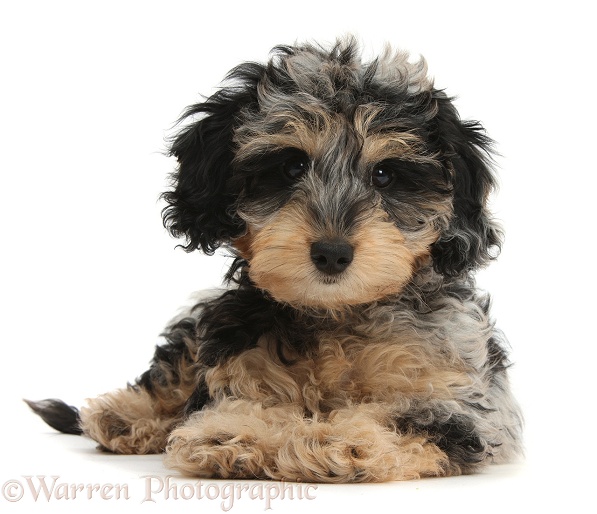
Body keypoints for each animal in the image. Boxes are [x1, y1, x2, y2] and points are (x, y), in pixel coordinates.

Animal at [28, 37, 520, 480]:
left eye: (385, 175)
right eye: (290, 167)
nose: (332, 253)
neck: (334, 315)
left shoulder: (459, 400)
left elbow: (399, 417)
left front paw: (333, 438)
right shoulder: (239, 351)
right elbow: (241, 400)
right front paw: (233, 432)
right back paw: (126, 414)